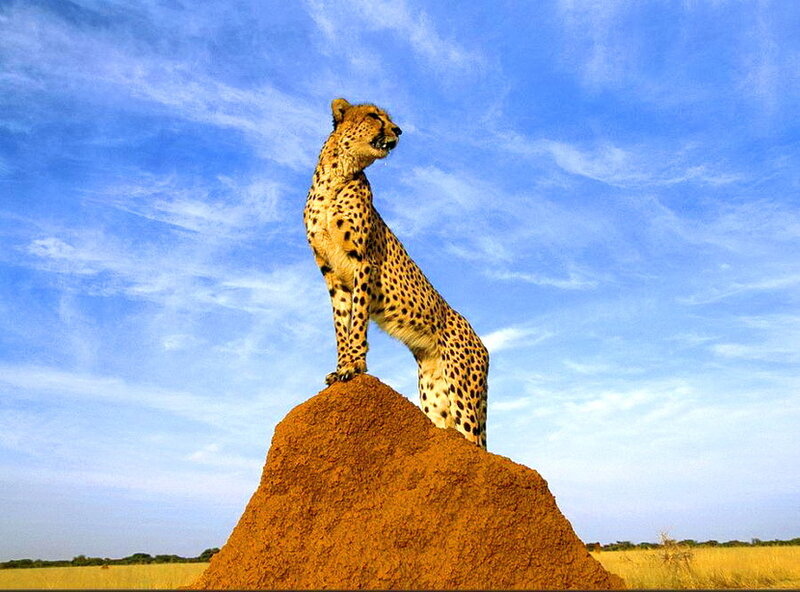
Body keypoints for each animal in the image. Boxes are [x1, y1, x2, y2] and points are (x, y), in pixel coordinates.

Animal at [303, 98, 489, 449]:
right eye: (375, 116)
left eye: (388, 118)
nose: (399, 130)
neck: (338, 175)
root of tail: (481, 342)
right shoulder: (331, 273)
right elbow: (341, 324)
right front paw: (341, 367)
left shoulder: (363, 262)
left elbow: (357, 322)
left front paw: (354, 366)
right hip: (434, 393)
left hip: (463, 393)